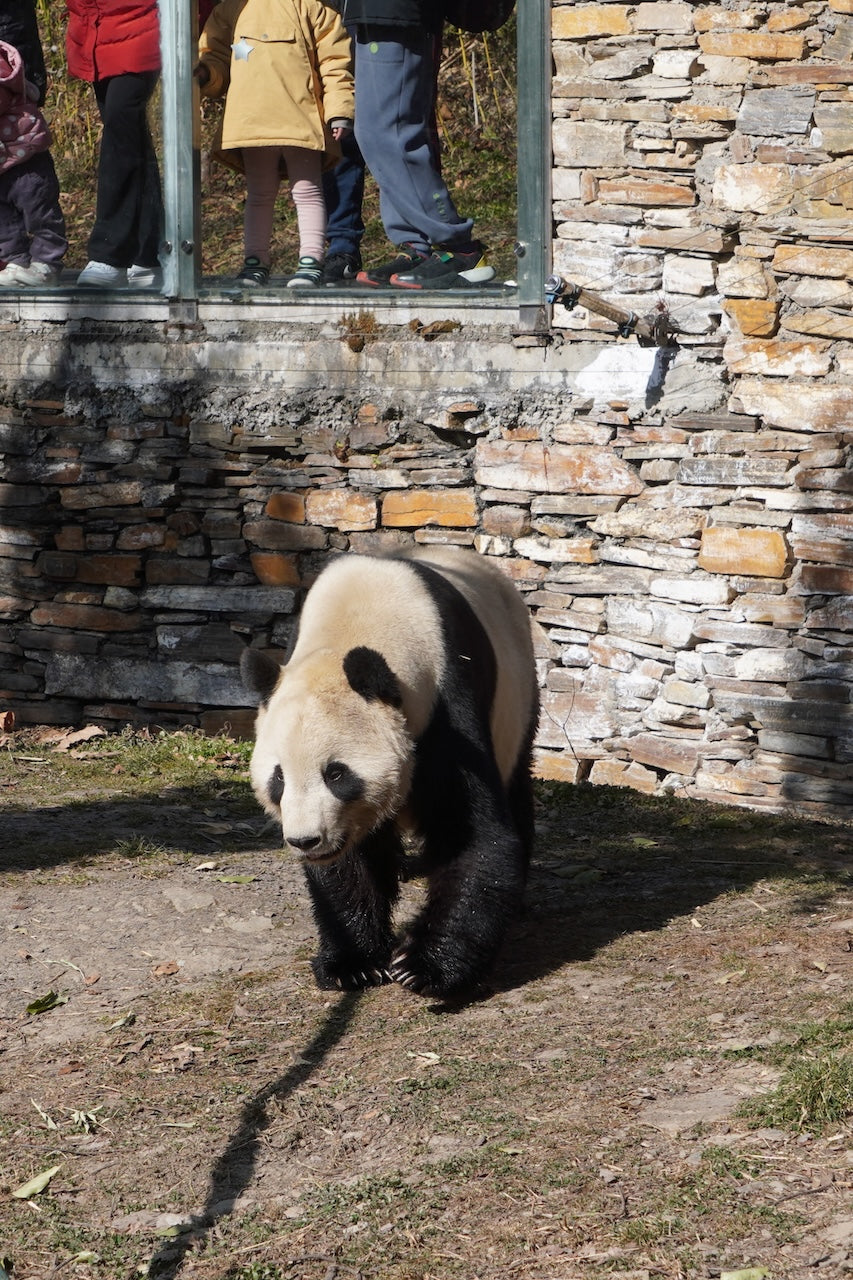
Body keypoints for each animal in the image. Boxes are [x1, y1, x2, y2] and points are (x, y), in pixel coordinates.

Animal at [239, 545, 537, 993]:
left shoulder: (447, 700)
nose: (305, 841)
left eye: (336, 773)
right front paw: (352, 963)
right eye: (278, 778)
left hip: (518, 697)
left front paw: (426, 967)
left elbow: (468, 830)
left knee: (516, 787)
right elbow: (348, 860)